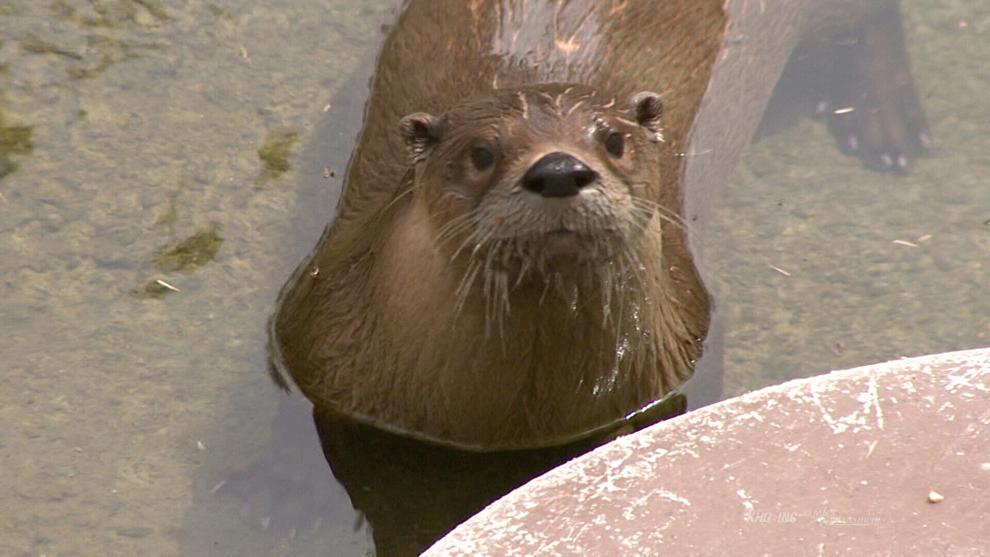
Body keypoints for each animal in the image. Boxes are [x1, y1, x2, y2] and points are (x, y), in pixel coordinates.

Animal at [272, 0, 926, 450]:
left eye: (613, 141)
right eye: (481, 152)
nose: (560, 169)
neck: (514, 421)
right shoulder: (315, 340)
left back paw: (889, 120)